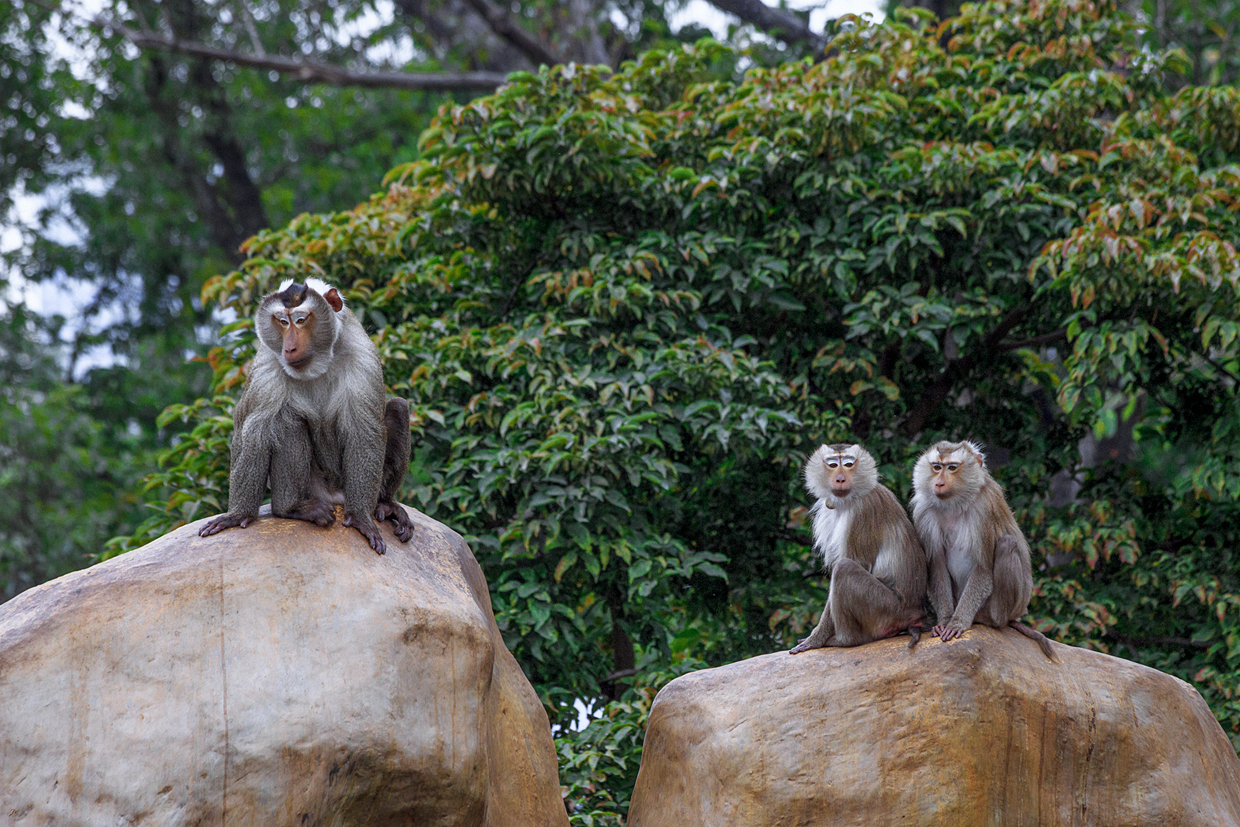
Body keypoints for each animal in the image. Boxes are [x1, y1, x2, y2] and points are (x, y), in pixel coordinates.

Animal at [198, 278, 415, 554]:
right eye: (282, 321)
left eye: (301, 320)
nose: (289, 347)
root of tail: (335, 497)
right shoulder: (267, 366)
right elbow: (253, 428)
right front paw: (237, 515)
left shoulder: (363, 358)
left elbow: (364, 430)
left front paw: (361, 518)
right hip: (315, 488)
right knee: (285, 420)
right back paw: (291, 508)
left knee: (398, 408)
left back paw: (385, 503)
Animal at [790, 443, 929, 654]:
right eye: (833, 464)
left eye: (848, 464)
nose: (840, 478)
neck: (849, 498)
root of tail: (916, 613)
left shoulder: (863, 510)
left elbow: (854, 562)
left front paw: (815, 638)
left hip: (886, 609)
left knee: (844, 569)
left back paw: (846, 640)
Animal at [909, 440, 1055, 660]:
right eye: (936, 467)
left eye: (952, 467)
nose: (939, 483)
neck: (954, 504)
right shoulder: (924, 512)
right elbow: (937, 566)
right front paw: (944, 621)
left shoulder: (985, 509)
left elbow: (983, 570)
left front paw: (958, 622)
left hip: (1015, 605)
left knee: (1007, 544)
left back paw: (991, 619)